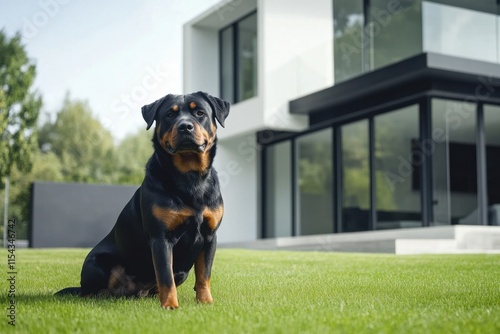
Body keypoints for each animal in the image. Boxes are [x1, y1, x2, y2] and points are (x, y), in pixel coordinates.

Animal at [55, 90, 231, 308]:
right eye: (170, 115)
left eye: (199, 113)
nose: (185, 126)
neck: (189, 177)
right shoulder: (160, 238)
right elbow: (165, 275)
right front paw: (170, 305)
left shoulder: (209, 236)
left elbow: (204, 275)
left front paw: (205, 302)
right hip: (96, 263)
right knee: (87, 290)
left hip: (182, 271)